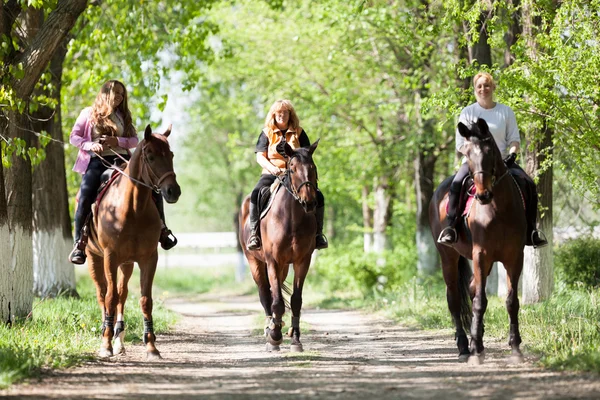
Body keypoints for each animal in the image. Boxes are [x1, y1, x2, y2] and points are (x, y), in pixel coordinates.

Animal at [85, 125, 180, 360]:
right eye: (151, 156)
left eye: (171, 155)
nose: (173, 191)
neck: (132, 209)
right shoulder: (110, 257)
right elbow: (109, 298)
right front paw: (105, 345)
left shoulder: (149, 258)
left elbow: (145, 300)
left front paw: (151, 346)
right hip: (94, 259)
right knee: (103, 294)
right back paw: (107, 332)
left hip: (126, 264)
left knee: (122, 294)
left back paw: (119, 340)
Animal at [239, 140, 322, 350]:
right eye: (292, 168)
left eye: (313, 167)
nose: (309, 202)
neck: (290, 217)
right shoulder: (272, 262)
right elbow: (276, 301)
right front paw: (274, 337)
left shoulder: (302, 261)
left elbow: (296, 300)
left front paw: (296, 339)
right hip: (255, 261)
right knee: (264, 293)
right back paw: (270, 327)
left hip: (284, 266)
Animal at [432, 117, 524, 364]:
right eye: (466, 153)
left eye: (489, 151)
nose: (482, 195)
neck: (498, 208)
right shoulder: (480, 254)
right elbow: (480, 301)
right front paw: (476, 352)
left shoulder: (514, 257)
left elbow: (511, 301)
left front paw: (515, 348)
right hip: (449, 257)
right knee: (454, 298)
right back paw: (465, 346)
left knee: (472, 288)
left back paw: (476, 339)